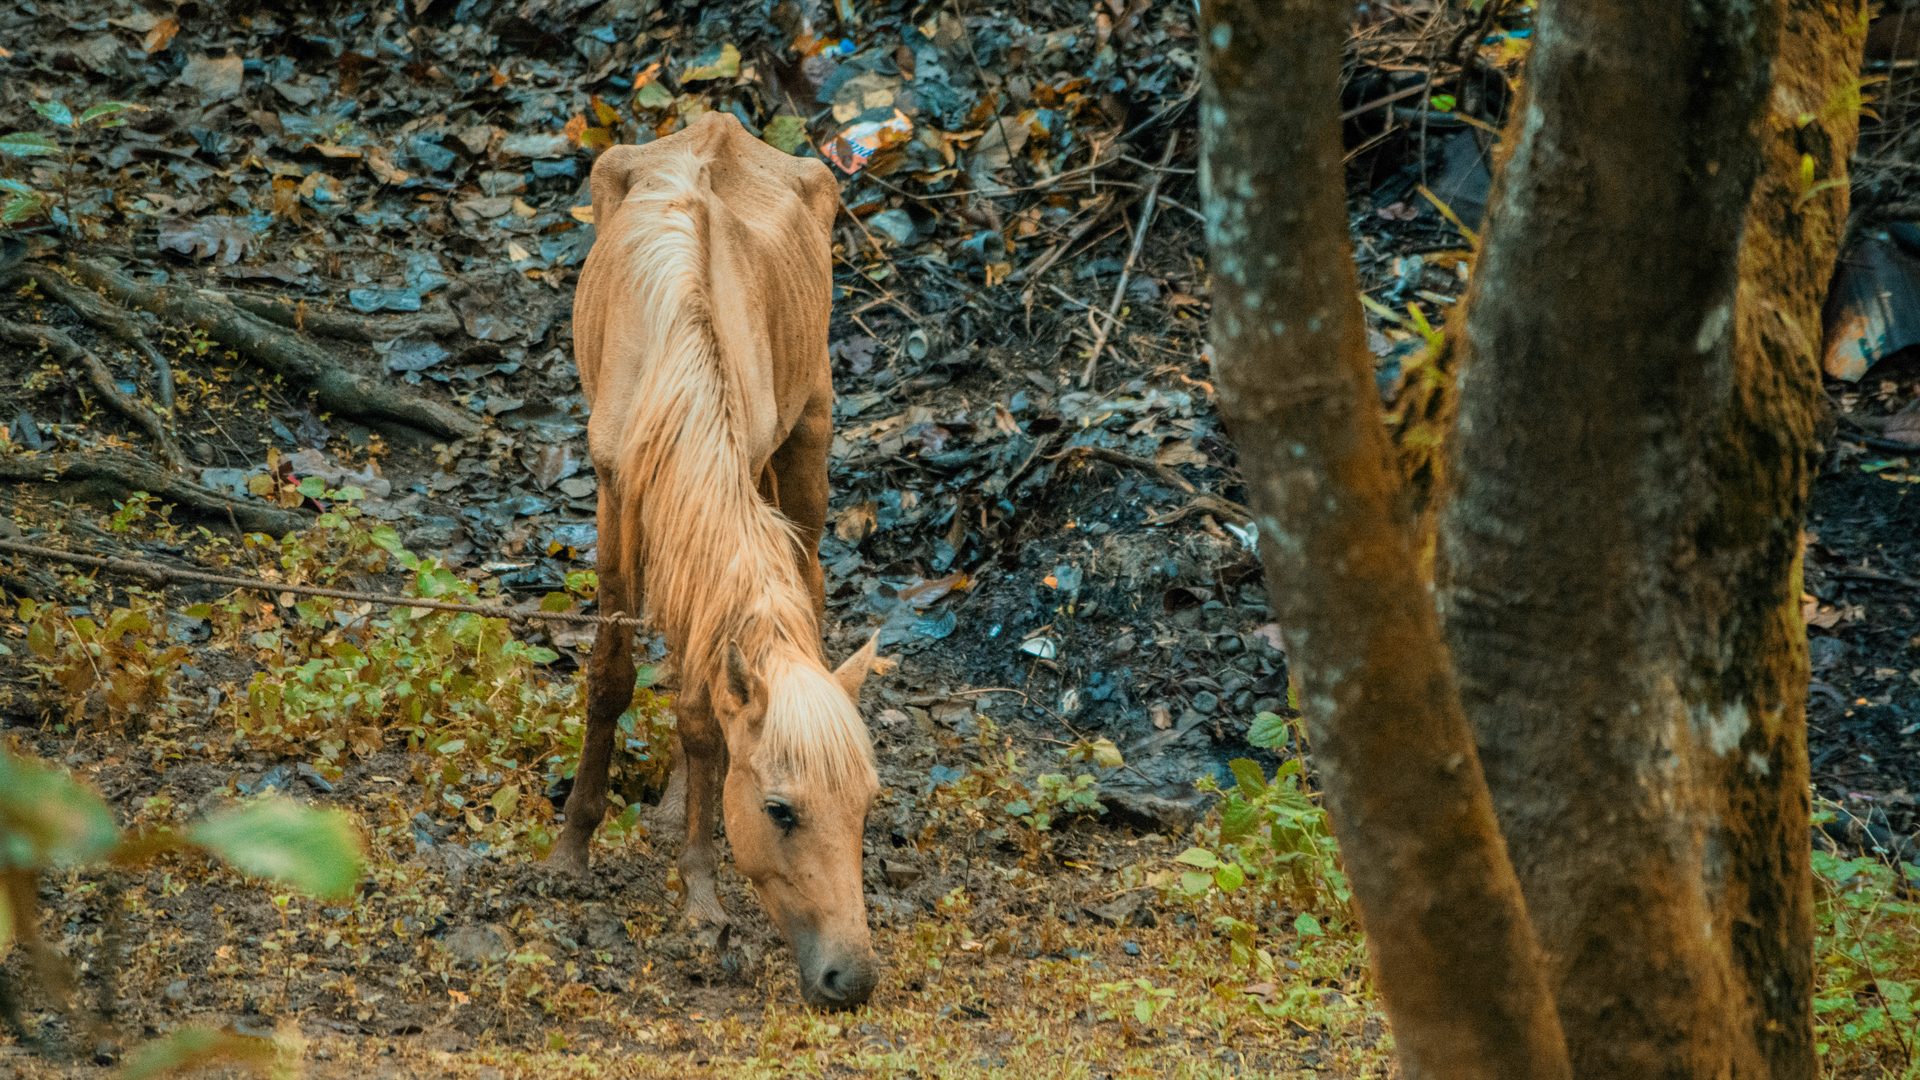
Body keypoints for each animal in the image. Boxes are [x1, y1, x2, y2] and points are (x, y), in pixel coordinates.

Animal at [549, 111, 883, 1010]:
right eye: (780, 810)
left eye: (866, 807)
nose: (852, 977)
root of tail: (724, 125)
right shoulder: (616, 494)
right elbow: (612, 675)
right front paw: (571, 850)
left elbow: (702, 710)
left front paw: (699, 894)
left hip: (809, 432)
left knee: (804, 583)